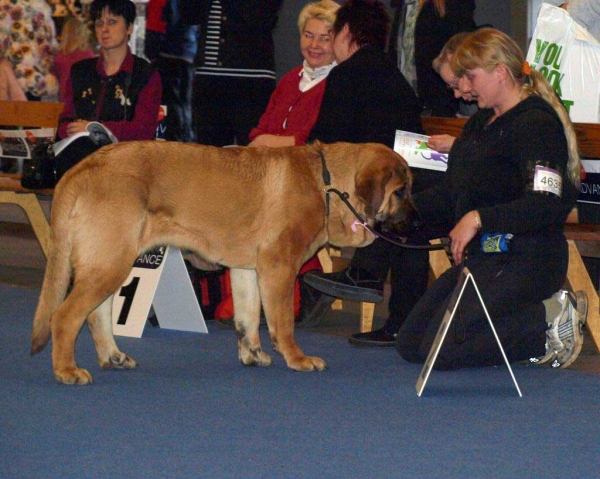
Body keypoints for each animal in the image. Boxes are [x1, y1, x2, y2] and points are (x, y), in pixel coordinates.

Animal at [30, 141, 414, 384]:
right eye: (400, 192)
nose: (418, 221)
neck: (328, 183)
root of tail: (81, 167)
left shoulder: (247, 270)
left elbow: (248, 317)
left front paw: (252, 354)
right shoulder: (279, 267)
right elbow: (282, 323)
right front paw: (297, 358)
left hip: (111, 262)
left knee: (97, 313)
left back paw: (113, 357)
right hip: (111, 262)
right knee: (65, 316)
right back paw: (67, 370)